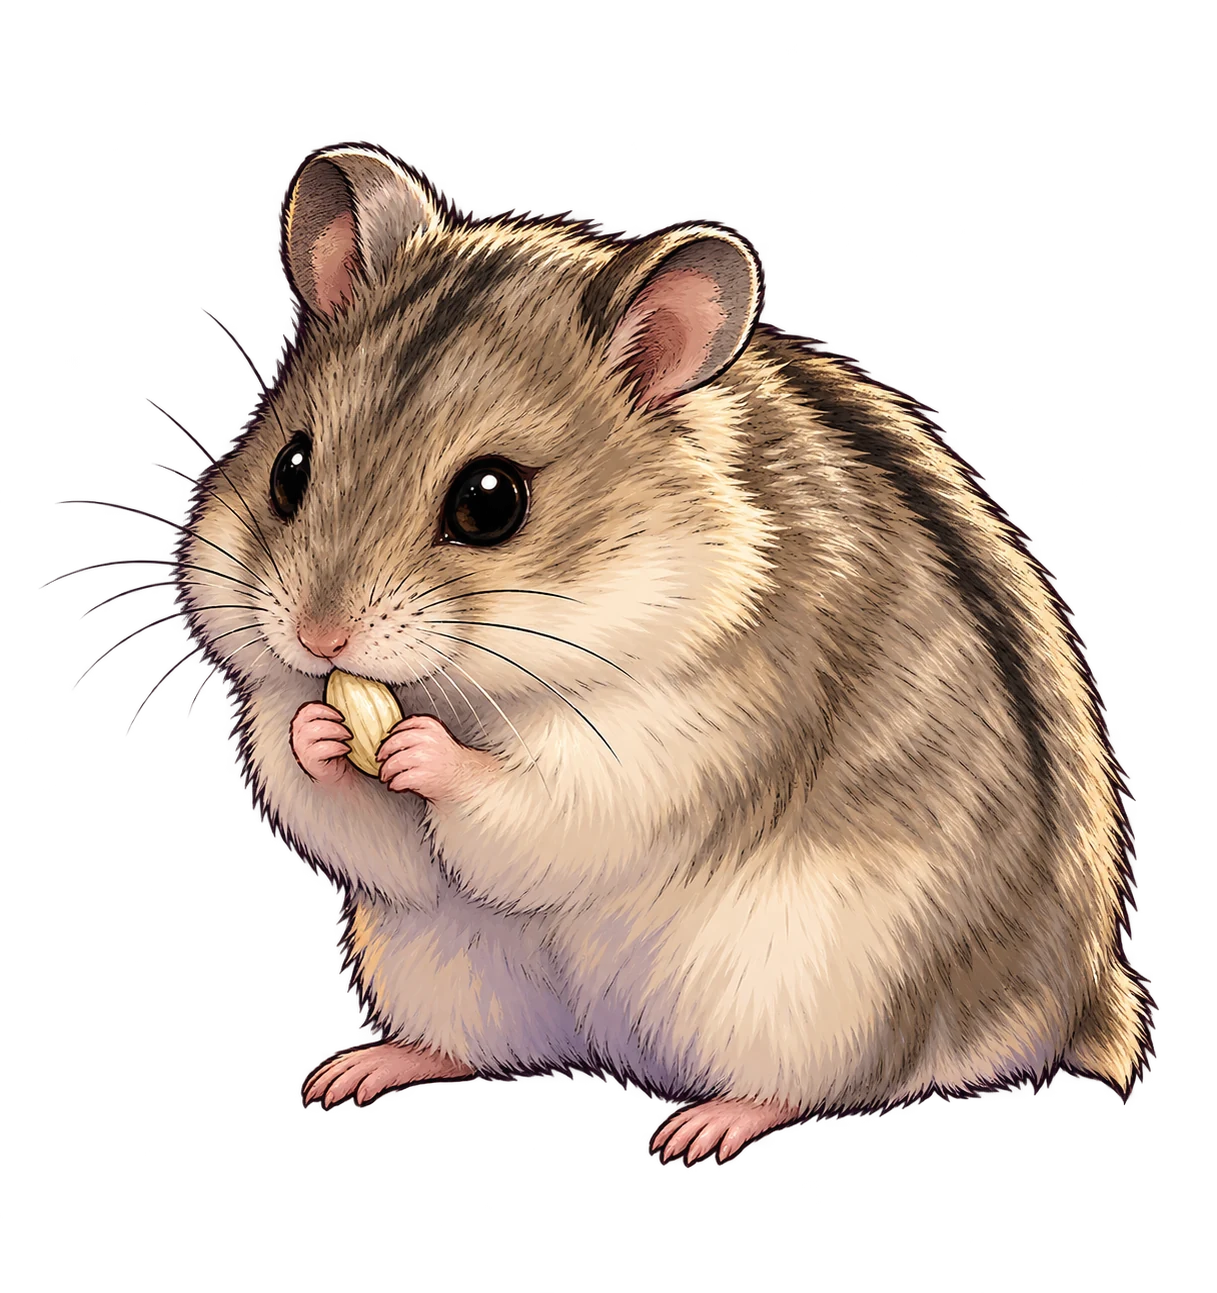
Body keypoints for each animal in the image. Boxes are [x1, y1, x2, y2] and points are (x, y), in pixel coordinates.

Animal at [171, 139, 1155, 1165]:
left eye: (490, 500)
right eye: (289, 468)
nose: (317, 636)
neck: (467, 688)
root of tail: (1079, 1003)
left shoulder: (665, 742)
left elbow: (538, 798)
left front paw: (416, 751)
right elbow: (321, 795)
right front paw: (321, 734)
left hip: (812, 987)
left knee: (822, 1086)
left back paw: (698, 1132)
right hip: (436, 965)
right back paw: (353, 1072)